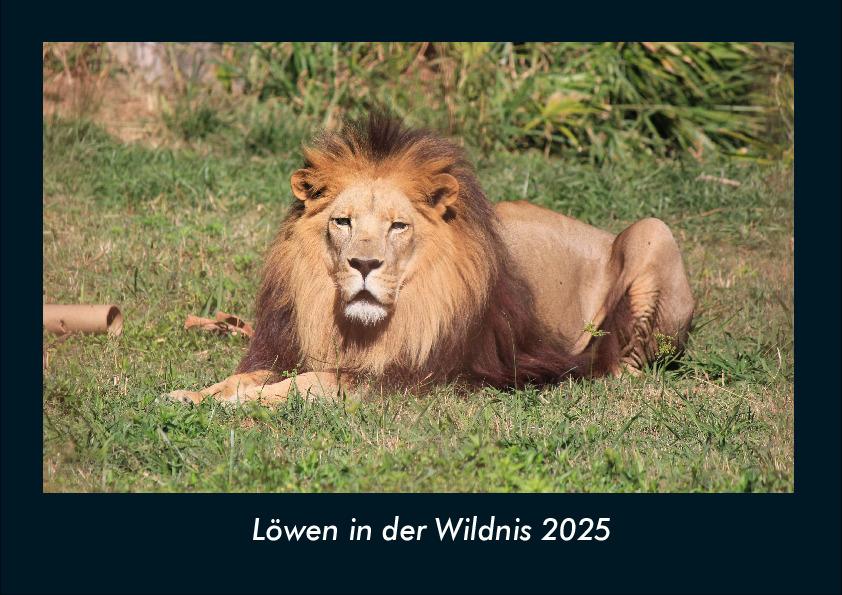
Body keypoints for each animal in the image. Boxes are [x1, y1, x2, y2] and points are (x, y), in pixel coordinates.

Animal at [167, 113, 694, 405]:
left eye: (398, 226)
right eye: (343, 222)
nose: (364, 265)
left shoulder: (415, 378)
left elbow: (314, 382)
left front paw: (244, 402)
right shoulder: (288, 347)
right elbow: (244, 375)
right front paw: (193, 394)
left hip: (654, 232)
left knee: (627, 361)